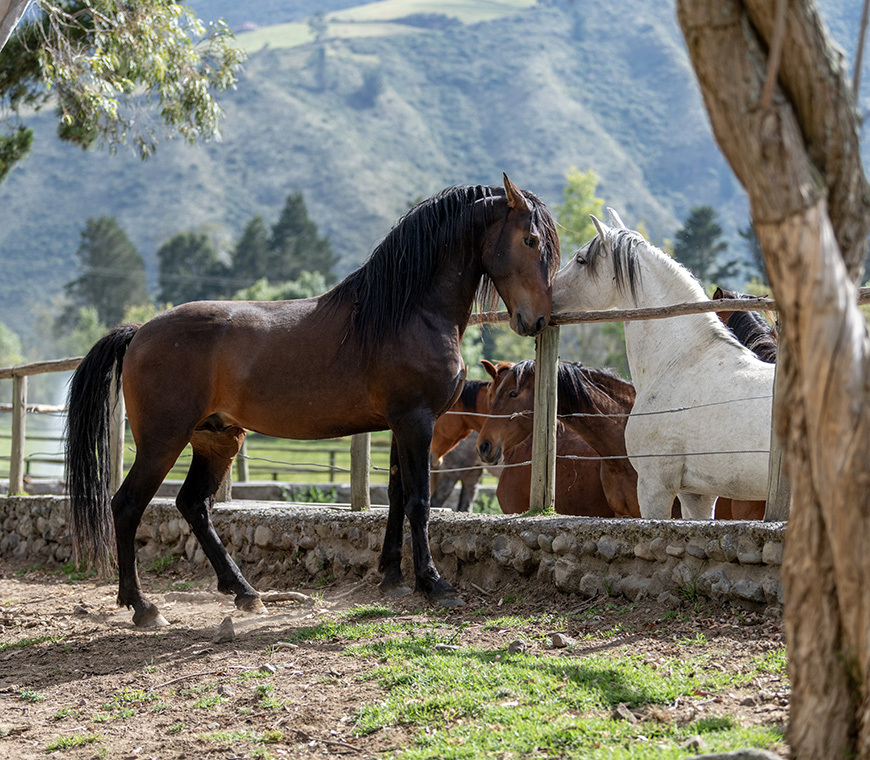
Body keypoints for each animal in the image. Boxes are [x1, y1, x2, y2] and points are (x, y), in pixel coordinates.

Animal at [66, 177, 560, 624]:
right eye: (530, 239)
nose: (537, 319)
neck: (408, 312)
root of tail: (138, 333)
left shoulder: (400, 425)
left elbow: (396, 496)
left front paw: (392, 578)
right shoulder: (416, 421)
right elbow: (419, 501)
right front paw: (434, 585)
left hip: (217, 438)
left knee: (193, 505)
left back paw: (244, 593)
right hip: (162, 441)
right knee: (127, 505)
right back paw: (143, 606)